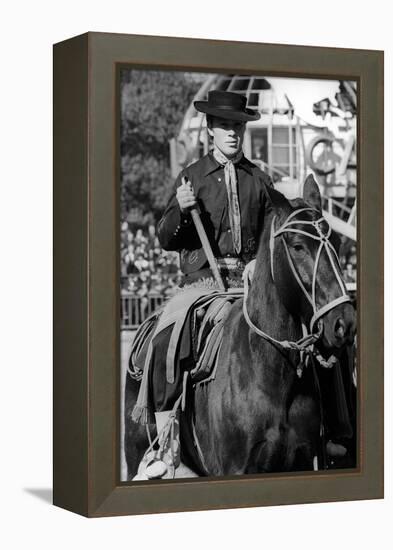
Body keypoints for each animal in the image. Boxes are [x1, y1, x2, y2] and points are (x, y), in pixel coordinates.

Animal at [123, 176, 356, 478]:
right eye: (297, 246)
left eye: (337, 243)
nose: (344, 322)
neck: (270, 371)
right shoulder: (236, 468)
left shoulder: (304, 460)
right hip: (135, 449)